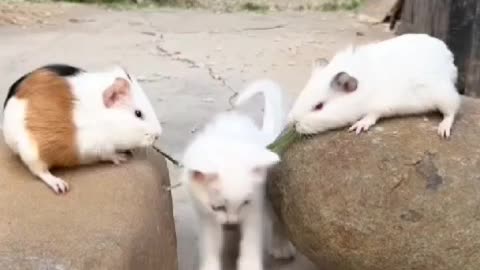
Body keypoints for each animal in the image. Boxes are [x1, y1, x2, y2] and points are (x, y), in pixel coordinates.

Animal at [180, 79, 292, 270]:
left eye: (245, 203)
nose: (232, 223)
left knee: (278, 219)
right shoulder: (206, 214)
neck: (228, 145)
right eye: (219, 207)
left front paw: (249, 265)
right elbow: (210, 244)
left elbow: (250, 240)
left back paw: (281, 246)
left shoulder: (254, 206)